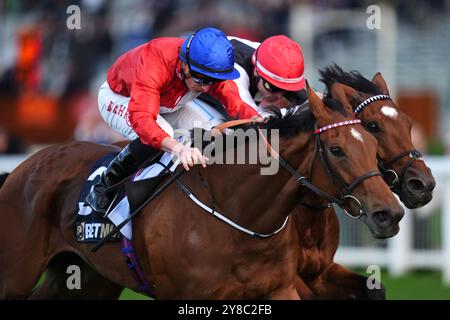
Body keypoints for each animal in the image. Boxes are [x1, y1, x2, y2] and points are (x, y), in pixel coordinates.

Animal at [0, 86, 404, 298]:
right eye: (336, 149)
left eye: (371, 140)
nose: (391, 212)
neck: (239, 214)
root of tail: (20, 169)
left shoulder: (279, 288)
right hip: (17, 275)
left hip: (86, 277)